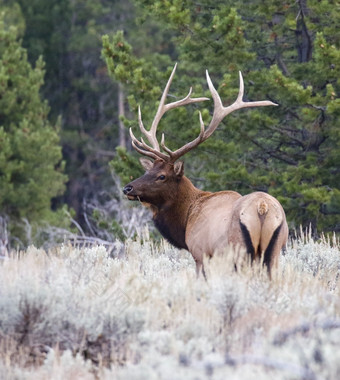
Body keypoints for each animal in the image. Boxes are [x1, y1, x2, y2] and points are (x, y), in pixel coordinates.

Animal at [123, 64, 288, 276]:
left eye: (162, 176)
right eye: (147, 171)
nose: (128, 188)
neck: (186, 219)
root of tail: (262, 207)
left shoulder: (200, 253)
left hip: (241, 252)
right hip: (275, 251)